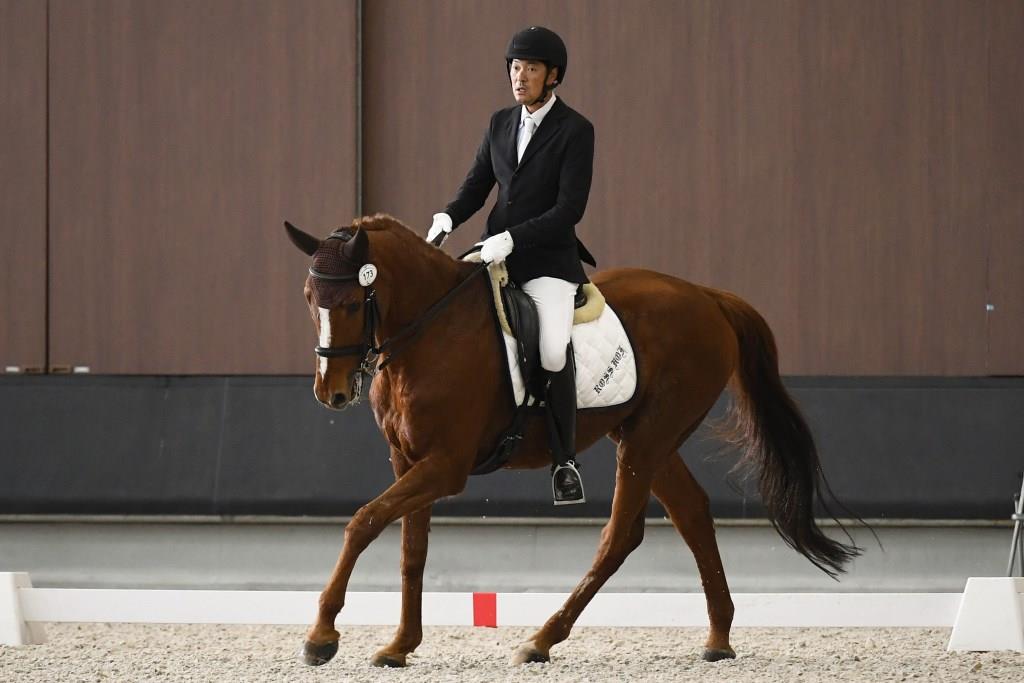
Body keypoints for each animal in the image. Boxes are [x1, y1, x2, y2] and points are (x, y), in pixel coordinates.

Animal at [284, 213, 860, 667]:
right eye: (311, 299)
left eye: (352, 302)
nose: (331, 393)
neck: (430, 332)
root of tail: (707, 297)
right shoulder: (406, 460)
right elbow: (411, 548)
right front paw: (400, 645)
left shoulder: (445, 466)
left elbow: (363, 522)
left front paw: (322, 637)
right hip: (647, 435)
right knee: (692, 514)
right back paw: (718, 638)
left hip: (648, 438)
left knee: (619, 536)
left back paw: (541, 639)